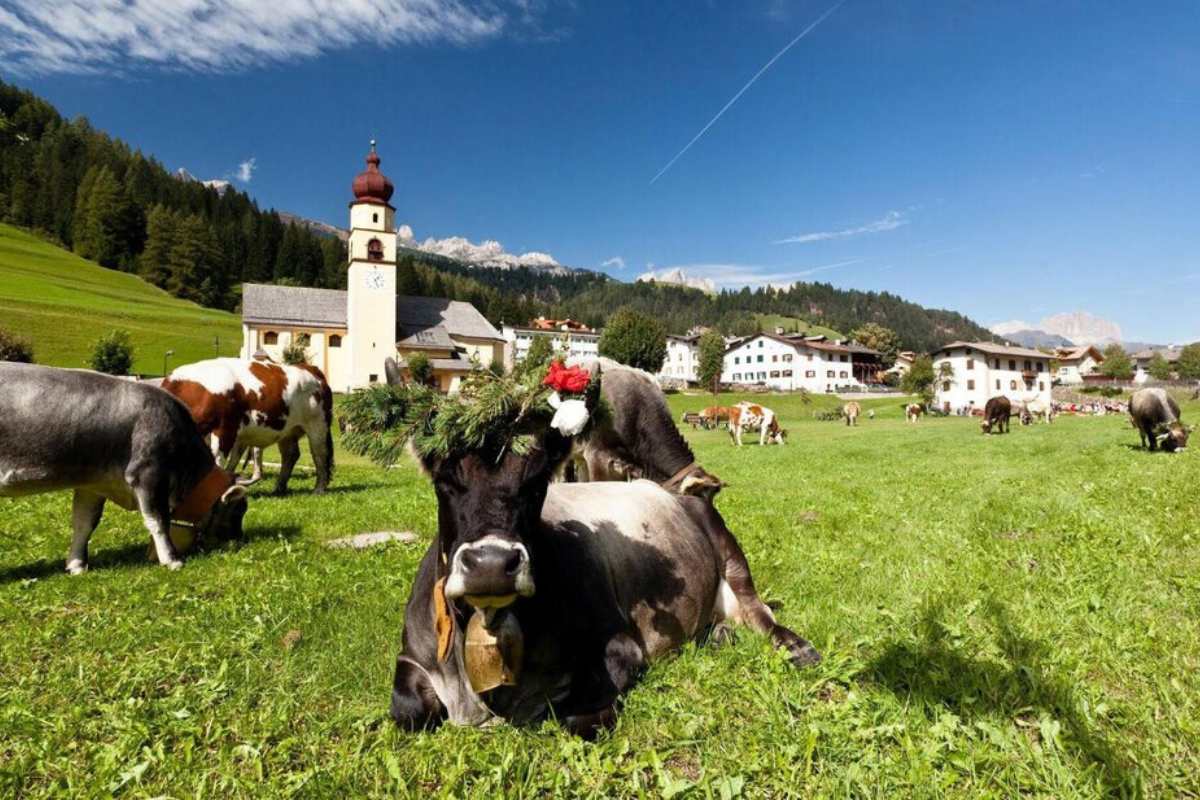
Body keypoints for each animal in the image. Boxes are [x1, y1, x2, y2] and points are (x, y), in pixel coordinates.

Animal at [0, 362, 247, 575]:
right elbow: (158, 521)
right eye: (238, 511)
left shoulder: (93, 485)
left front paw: (77, 565)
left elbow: (84, 523)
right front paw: (172, 560)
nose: (238, 539)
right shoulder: (148, 474)